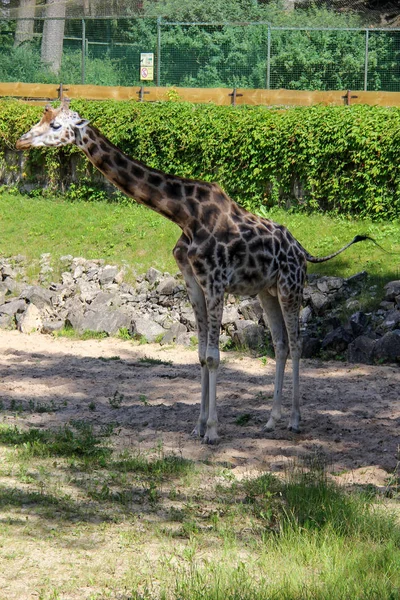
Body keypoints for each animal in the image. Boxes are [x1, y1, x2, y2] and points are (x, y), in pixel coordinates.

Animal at [17, 101, 376, 442]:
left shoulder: (215, 282)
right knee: (280, 344)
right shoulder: (193, 283)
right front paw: (198, 426)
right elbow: (202, 354)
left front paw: (213, 431)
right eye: (40, 119)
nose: (21, 140)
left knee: (298, 343)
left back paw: (294, 421)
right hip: (266, 291)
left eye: (56, 125)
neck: (184, 215)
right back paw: (271, 420)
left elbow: (215, 356)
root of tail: (302, 250)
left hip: (292, 286)